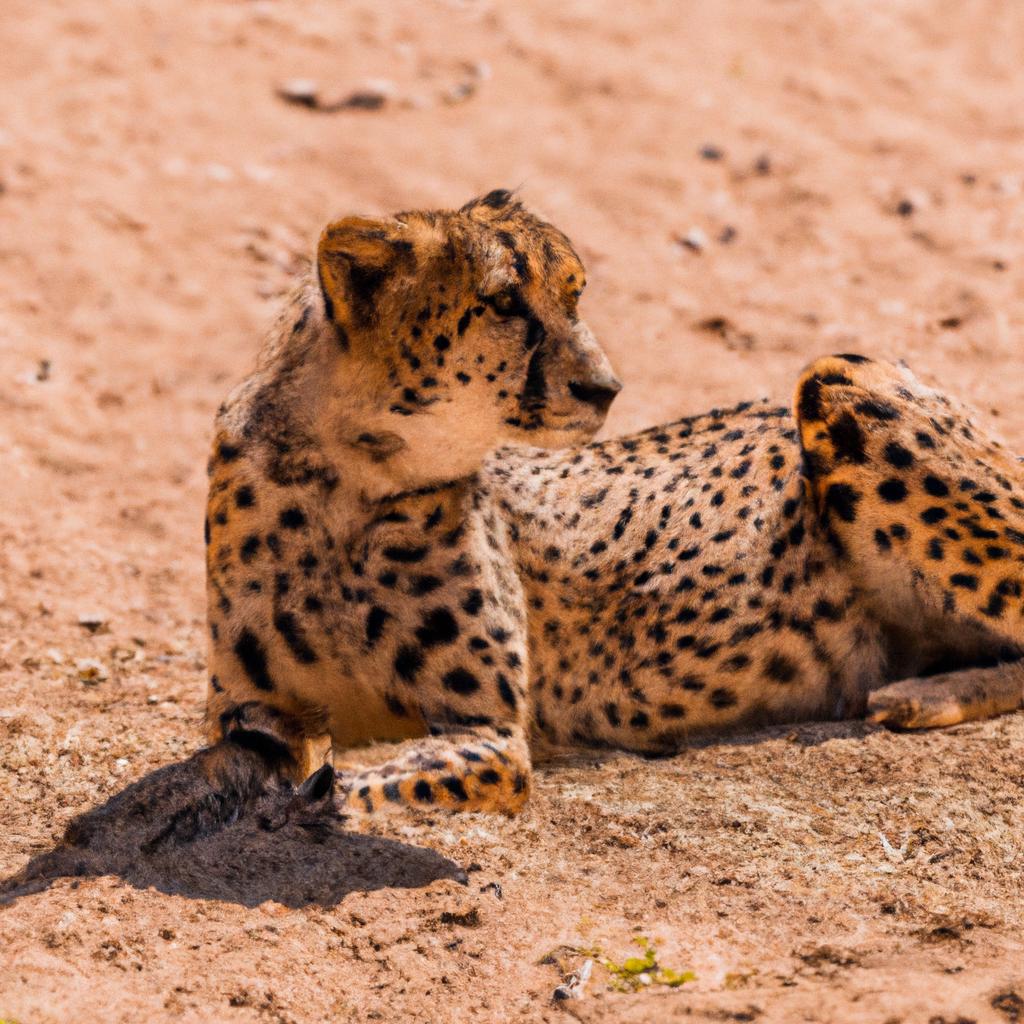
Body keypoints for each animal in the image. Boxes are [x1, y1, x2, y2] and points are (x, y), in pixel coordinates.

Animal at [77, 190, 1024, 839]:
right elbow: (231, 758)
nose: (604, 386)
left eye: (575, 294)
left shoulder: (495, 734)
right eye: (504, 302)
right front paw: (172, 806)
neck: (348, 473)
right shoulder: (252, 708)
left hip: (840, 372)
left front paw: (331, 790)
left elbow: (397, 771)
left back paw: (919, 695)